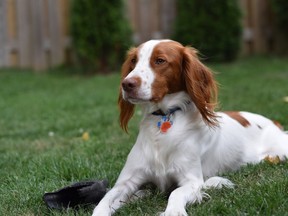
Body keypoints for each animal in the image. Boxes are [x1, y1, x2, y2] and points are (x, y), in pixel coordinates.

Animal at [93, 39, 288, 215]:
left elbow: (176, 194)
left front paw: (173, 211)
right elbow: (104, 201)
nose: (127, 84)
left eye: (160, 60)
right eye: (134, 61)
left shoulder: (191, 180)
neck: (163, 119)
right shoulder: (126, 182)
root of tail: (274, 122)